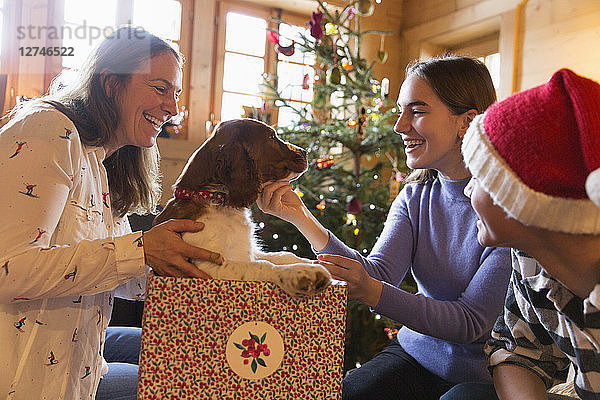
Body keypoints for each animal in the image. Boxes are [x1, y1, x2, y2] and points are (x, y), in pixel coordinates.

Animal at [155, 117, 330, 296]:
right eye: (272, 137)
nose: (305, 151)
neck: (215, 199)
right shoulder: (206, 265)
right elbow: (263, 266)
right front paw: (301, 273)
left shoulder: (247, 252)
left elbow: (281, 255)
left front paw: (309, 263)